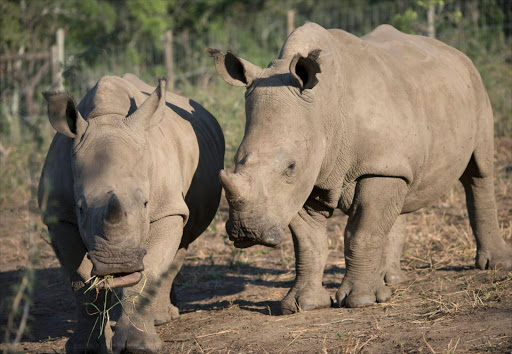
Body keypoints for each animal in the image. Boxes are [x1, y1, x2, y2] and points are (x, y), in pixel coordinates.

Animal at [37, 74, 225, 352]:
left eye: (146, 204)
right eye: (80, 208)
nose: (118, 263)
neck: (107, 116)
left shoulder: (167, 209)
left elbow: (152, 271)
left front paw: (138, 346)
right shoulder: (59, 216)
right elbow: (80, 280)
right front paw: (85, 347)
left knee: (181, 242)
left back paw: (162, 318)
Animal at [207, 23, 512, 314]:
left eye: (290, 167)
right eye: (238, 159)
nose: (246, 231)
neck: (323, 109)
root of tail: (456, 52)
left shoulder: (368, 167)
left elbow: (361, 232)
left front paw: (361, 301)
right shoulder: (309, 178)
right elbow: (309, 241)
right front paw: (304, 305)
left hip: (475, 88)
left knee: (479, 172)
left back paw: (494, 265)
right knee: (401, 191)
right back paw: (390, 280)